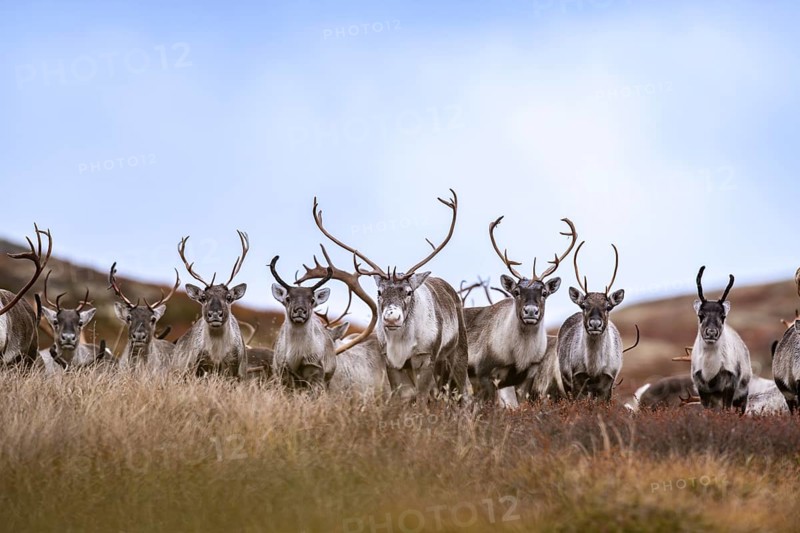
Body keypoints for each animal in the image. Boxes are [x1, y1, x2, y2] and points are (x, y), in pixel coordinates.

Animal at [174, 231, 249, 378]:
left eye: (229, 297)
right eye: (203, 297)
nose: (215, 314)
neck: (217, 356)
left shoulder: (236, 372)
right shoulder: (196, 368)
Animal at [310, 190, 469, 401]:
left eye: (409, 291)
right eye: (379, 291)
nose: (391, 317)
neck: (402, 342)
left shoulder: (425, 358)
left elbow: (421, 397)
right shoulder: (391, 362)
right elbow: (403, 396)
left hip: (456, 355)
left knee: (461, 391)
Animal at [464, 217, 576, 403]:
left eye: (544, 293)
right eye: (516, 292)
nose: (530, 311)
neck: (519, 356)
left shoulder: (526, 378)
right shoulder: (484, 373)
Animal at [557, 241, 633, 401]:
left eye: (608, 306)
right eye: (583, 305)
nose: (595, 324)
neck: (593, 368)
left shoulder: (608, 382)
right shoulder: (576, 379)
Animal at [690, 266, 751, 413]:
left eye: (723, 316)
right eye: (700, 315)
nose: (711, 333)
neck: (710, 370)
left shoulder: (730, 385)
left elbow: (726, 410)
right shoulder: (701, 388)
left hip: (742, 394)